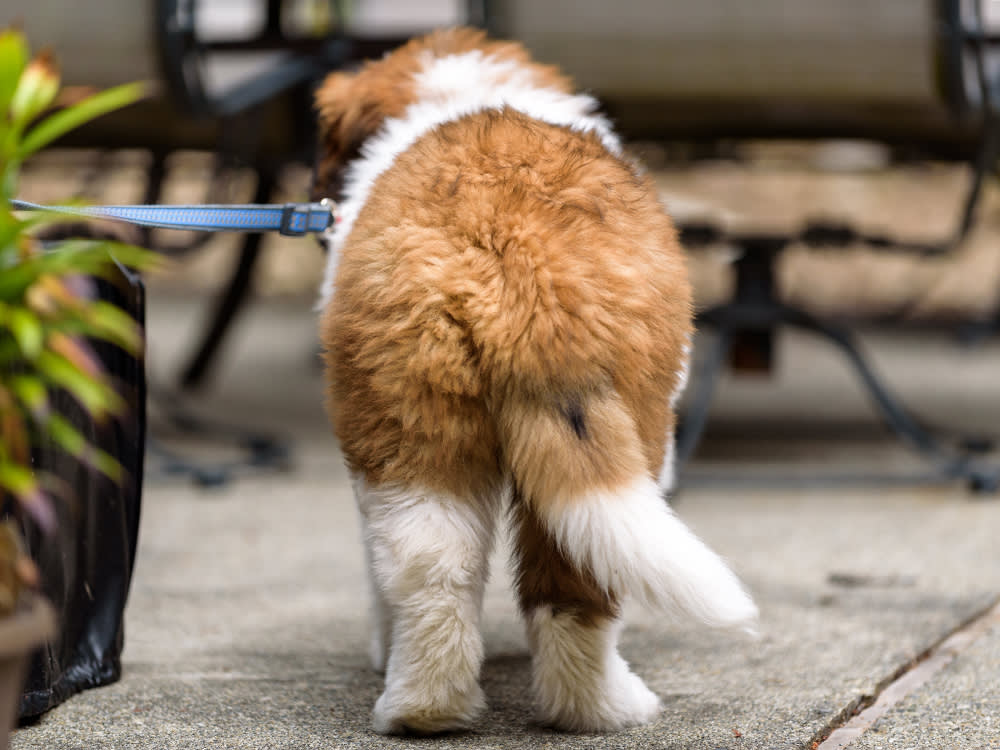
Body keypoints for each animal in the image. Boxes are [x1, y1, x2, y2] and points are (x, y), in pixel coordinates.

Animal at [312, 27, 756, 736]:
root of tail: (516, 251)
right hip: (629, 421)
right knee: (556, 580)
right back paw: (601, 707)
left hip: (411, 421)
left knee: (440, 568)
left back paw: (434, 710)